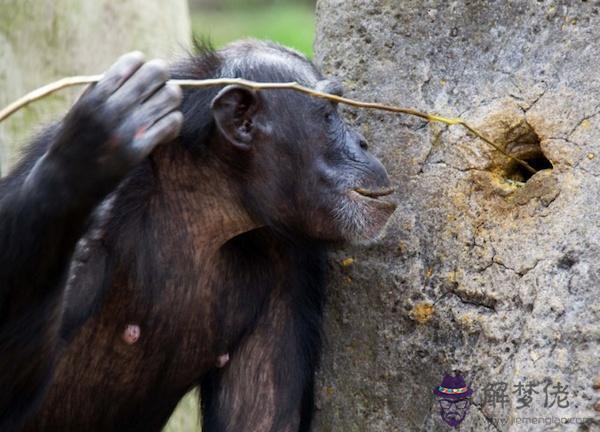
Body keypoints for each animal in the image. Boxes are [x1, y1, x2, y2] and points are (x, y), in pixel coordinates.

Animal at [0, 38, 396, 430]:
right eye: (328, 114)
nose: (362, 143)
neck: (205, 201)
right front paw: (86, 155)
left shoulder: (293, 265)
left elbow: (261, 418)